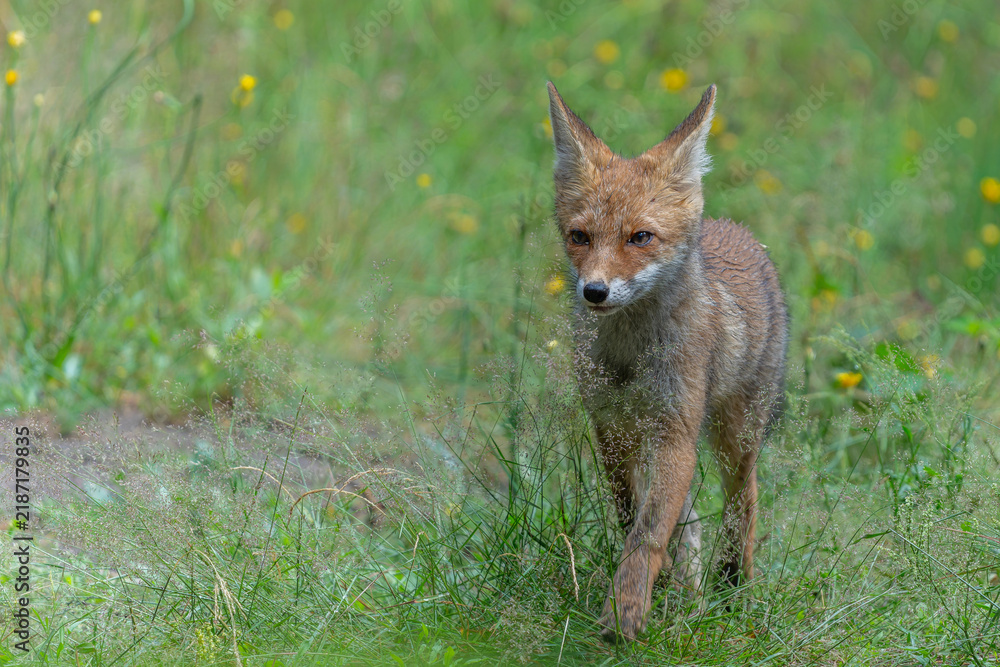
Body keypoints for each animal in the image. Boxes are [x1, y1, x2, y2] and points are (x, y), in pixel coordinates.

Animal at [546, 82, 788, 641]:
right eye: (579, 237)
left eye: (640, 237)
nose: (594, 292)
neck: (629, 356)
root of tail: (737, 231)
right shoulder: (610, 427)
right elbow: (633, 516)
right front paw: (653, 598)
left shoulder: (675, 430)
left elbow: (648, 535)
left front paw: (625, 614)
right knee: (694, 521)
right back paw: (689, 595)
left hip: (734, 436)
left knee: (743, 503)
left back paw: (732, 587)